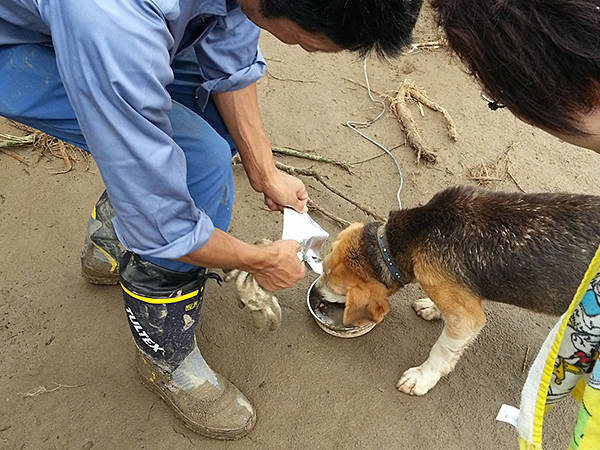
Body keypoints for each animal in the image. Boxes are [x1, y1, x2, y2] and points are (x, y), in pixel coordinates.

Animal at [314, 185, 600, 396]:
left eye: (331, 282)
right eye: (323, 268)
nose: (315, 293)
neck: (418, 232)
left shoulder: (467, 319)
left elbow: (441, 350)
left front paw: (422, 378)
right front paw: (433, 308)